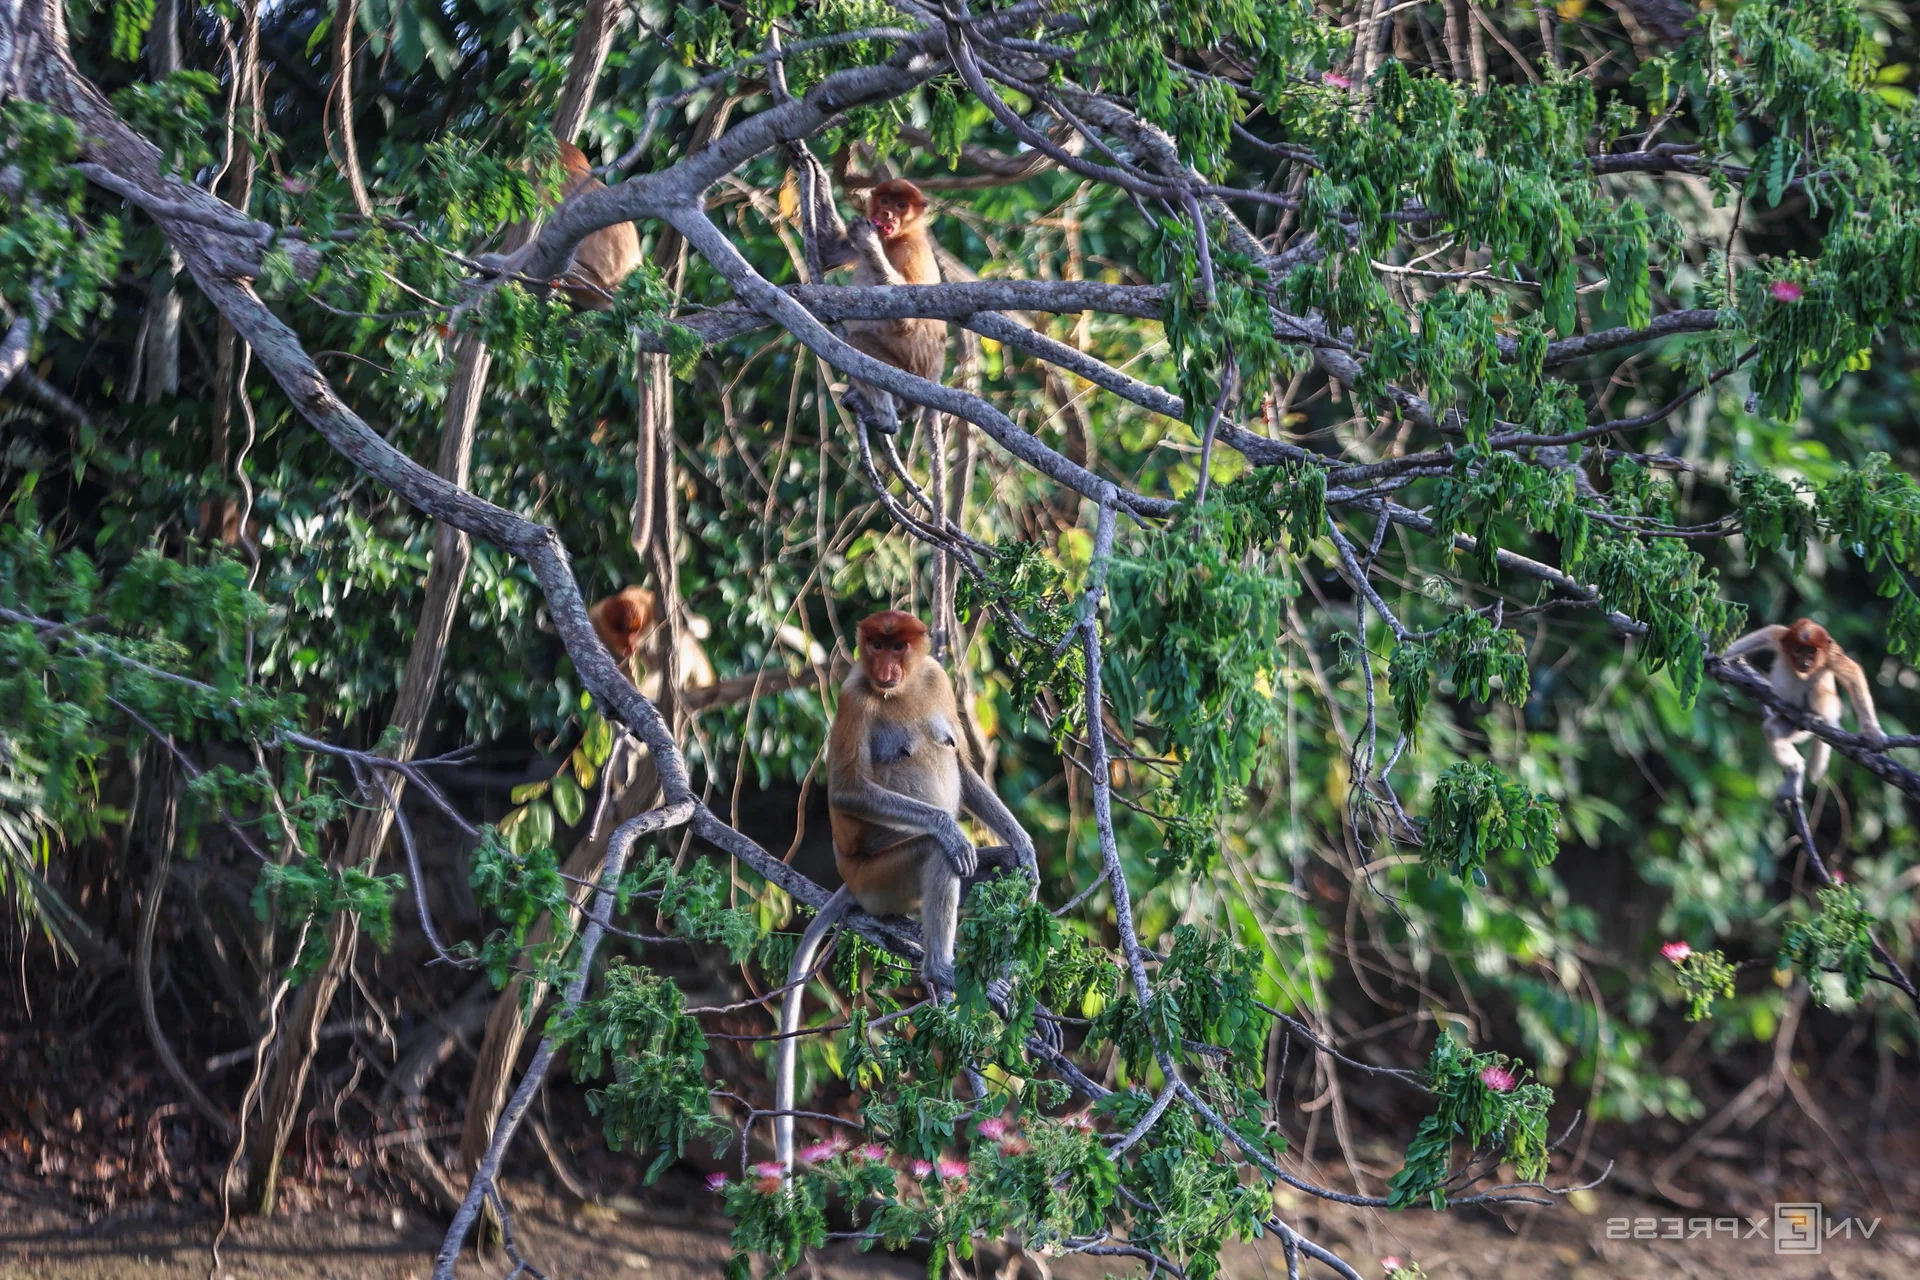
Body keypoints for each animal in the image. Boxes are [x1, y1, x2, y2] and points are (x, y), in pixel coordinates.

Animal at [773, 610, 1039, 1173]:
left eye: (898, 647)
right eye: (875, 645)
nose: (886, 668)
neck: (896, 692)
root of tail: (851, 881)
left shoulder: (935, 678)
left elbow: (960, 761)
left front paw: (1024, 844)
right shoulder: (853, 696)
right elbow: (849, 790)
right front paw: (948, 827)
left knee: (1002, 871)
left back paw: (1000, 979)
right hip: (882, 882)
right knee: (937, 856)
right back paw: (942, 968)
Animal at [838, 180, 946, 434]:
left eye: (901, 205)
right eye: (885, 201)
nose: (886, 214)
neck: (896, 237)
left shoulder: (911, 251)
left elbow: (908, 319)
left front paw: (867, 239)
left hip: (906, 375)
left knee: (857, 341)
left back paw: (885, 419)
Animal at [1721, 618, 1887, 801]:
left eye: (1811, 651)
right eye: (1797, 650)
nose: (1805, 663)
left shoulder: (1831, 653)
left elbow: (1853, 674)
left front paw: (1872, 733)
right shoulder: (1778, 636)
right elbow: (1757, 638)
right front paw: (1711, 656)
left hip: (1827, 708)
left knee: (1816, 687)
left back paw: (1814, 716)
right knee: (1771, 730)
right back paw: (1796, 770)